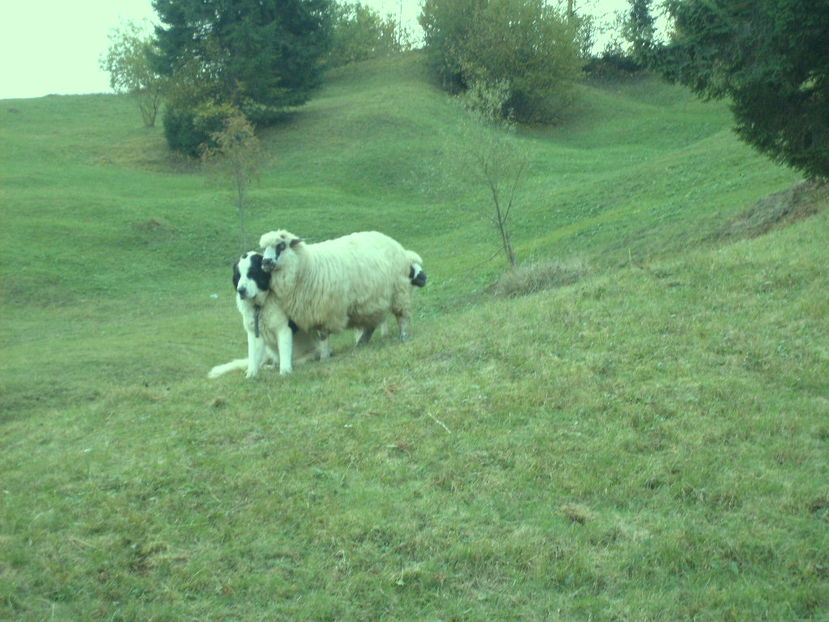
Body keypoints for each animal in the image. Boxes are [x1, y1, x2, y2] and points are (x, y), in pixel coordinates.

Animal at [258, 229, 426, 368]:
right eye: (263, 249)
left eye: (281, 245)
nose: (265, 262)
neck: (307, 266)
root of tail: (396, 245)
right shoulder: (312, 312)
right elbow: (319, 337)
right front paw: (326, 354)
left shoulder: (325, 311)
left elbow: (323, 336)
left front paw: (325, 357)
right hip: (371, 303)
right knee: (370, 325)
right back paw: (361, 343)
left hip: (399, 292)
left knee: (402, 316)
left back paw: (403, 336)